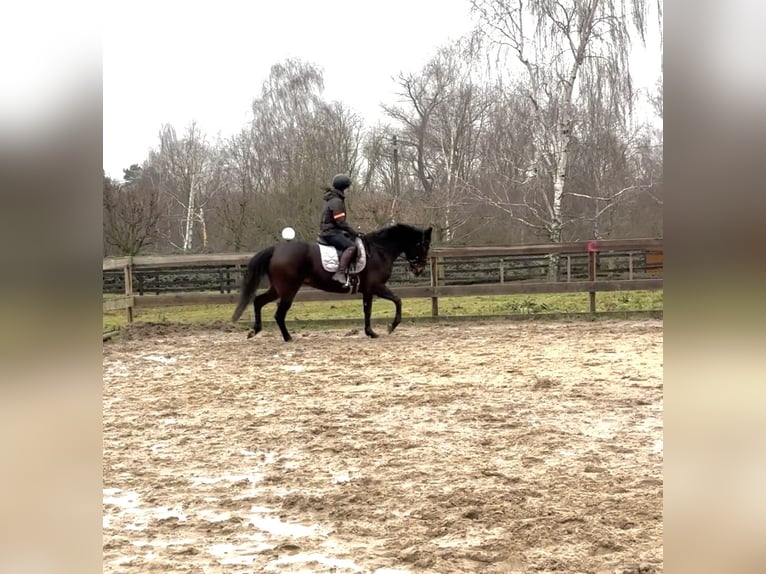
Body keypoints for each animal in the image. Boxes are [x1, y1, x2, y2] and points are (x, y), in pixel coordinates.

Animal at [231, 225, 436, 342]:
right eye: (423, 245)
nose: (419, 269)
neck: (379, 250)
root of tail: (276, 249)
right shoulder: (377, 286)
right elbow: (398, 300)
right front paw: (391, 327)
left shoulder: (367, 290)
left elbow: (367, 310)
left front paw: (370, 332)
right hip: (289, 290)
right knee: (279, 314)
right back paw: (288, 338)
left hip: (278, 289)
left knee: (258, 301)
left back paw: (254, 331)